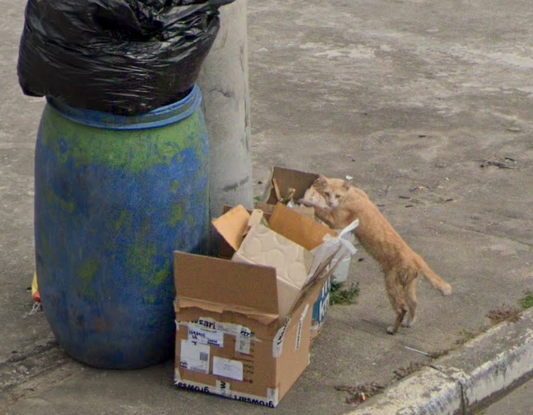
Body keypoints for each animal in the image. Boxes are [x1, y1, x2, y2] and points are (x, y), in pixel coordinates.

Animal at [300, 175, 448, 334]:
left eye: (337, 195)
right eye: (327, 193)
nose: (331, 202)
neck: (352, 195)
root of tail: (415, 257)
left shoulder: (336, 220)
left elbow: (319, 209)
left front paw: (306, 202)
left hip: (392, 283)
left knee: (402, 308)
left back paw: (393, 329)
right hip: (408, 285)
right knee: (413, 303)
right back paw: (408, 323)